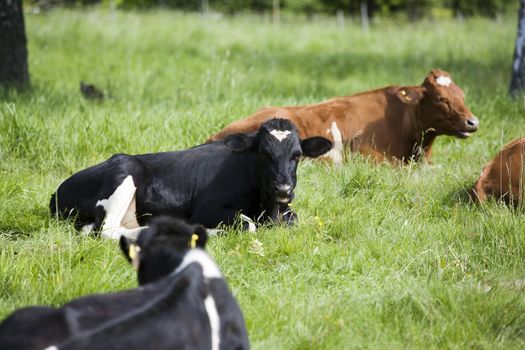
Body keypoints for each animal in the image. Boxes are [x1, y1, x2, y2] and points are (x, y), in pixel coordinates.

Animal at [50, 117, 332, 238]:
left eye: (297, 155)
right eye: (264, 153)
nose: (284, 189)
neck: (268, 209)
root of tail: (57, 192)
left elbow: (293, 219)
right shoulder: (209, 209)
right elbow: (249, 225)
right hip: (125, 170)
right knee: (106, 229)